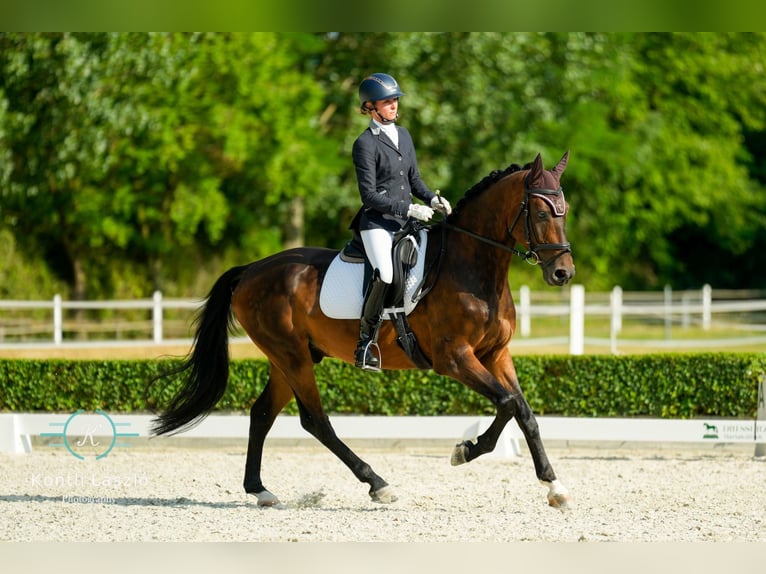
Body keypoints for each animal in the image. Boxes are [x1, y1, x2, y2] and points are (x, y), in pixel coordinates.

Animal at [150, 152, 576, 508]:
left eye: (565, 212)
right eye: (541, 214)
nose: (563, 273)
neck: (473, 268)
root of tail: (251, 270)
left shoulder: (496, 354)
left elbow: (524, 412)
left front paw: (555, 487)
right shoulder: (454, 358)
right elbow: (507, 404)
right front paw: (464, 451)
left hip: (286, 359)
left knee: (262, 414)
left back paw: (260, 491)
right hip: (292, 356)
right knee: (316, 421)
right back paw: (378, 484)